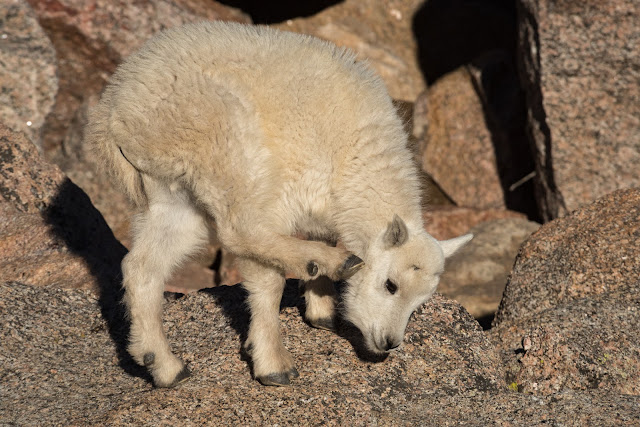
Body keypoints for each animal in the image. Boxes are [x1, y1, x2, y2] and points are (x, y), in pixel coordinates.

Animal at [86, 21, 470, 390]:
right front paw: (272, 363)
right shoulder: (282, 195)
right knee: (239, 230)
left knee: (143, 265)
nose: (389, 342)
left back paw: (163, 366)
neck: (354, 160)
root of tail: (111, 111)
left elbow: (321, 235)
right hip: (220, 138)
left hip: (171, 189)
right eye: (391, 285)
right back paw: (331, 263)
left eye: (421, 301)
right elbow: (266, 279)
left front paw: (322, 310)